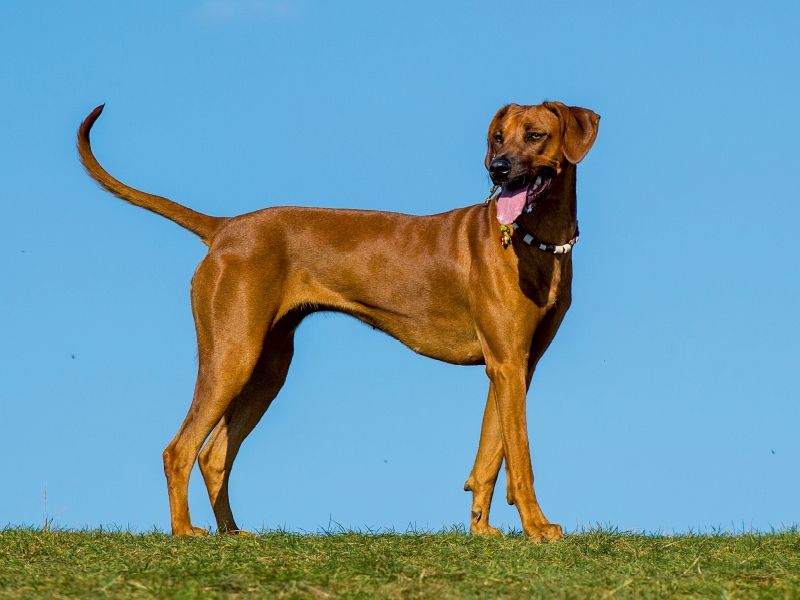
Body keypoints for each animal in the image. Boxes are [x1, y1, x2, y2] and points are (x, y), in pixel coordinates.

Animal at [76, 102, 600, 540]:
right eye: (496, 138)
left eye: (534, 135)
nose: (497, 169)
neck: (535, 239)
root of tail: (224, 227)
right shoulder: (506, 364)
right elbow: (521, 458)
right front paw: (537, 528)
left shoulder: (514, 366)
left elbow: (491, 454)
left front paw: (483, 532)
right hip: (231, 356)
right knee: (180, 450)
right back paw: (185, 533)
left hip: (267, 367)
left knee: (215, 453)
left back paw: (233, 533)